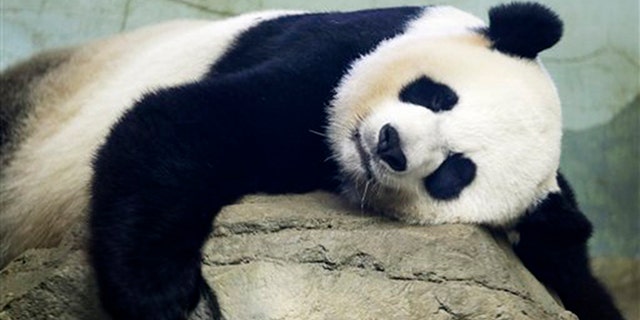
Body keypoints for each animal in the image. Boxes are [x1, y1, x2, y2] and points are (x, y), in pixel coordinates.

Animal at [0, 2, 624, 320]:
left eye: (455, 172)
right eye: (436, 95)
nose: (390, 145)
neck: (335, 158)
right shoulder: (337, 53)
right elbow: (183, 122)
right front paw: (161, 296)